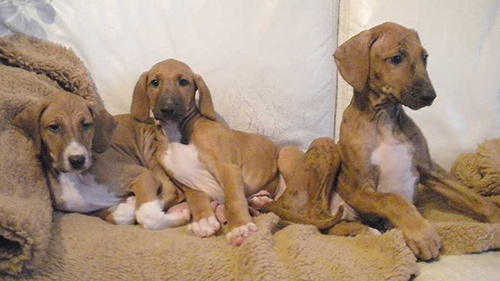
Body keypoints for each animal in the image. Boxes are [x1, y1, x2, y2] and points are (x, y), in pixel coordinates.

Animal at [14, 93, 189, 229]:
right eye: (54, 127)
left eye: (86, 124)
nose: (77, 160)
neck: (78, 177)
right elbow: (113, 216)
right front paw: (128, 206)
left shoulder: (142, 174)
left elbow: (149, 215)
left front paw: (180, 215)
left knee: (172, 191)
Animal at [330, 22, 500, 260]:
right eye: (396, 58)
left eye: (425, 57)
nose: (430, 96)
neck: (384, 120)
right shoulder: (360, 190)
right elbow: (393, 199)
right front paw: (421, 233)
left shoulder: (429, 168)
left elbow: (472, 197)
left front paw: (496, 215)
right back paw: (363, 231)